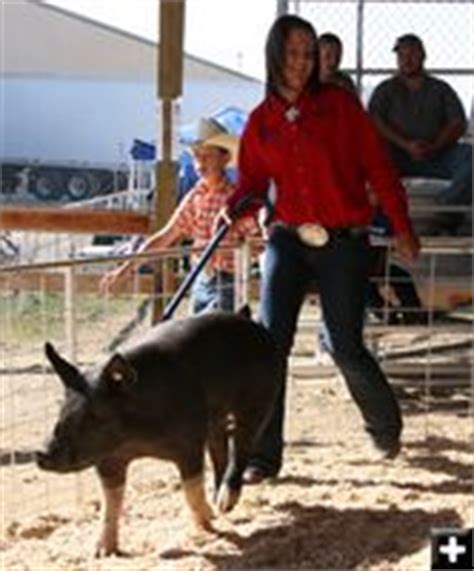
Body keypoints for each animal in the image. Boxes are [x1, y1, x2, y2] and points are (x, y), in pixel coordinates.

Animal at [37, 310, 284, 556]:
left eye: (94, 415)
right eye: (62, 409)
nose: (40, 452)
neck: (135, 441)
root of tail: (253, 324)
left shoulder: (189, 444)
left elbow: (191, 492)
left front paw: (207, 530)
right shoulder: (108, 460)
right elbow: (110, 503)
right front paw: (102, 552)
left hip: (260, 399)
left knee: (242, 446)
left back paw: (225, 502)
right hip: (215, 416)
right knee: (219, 446)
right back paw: (219, 504)